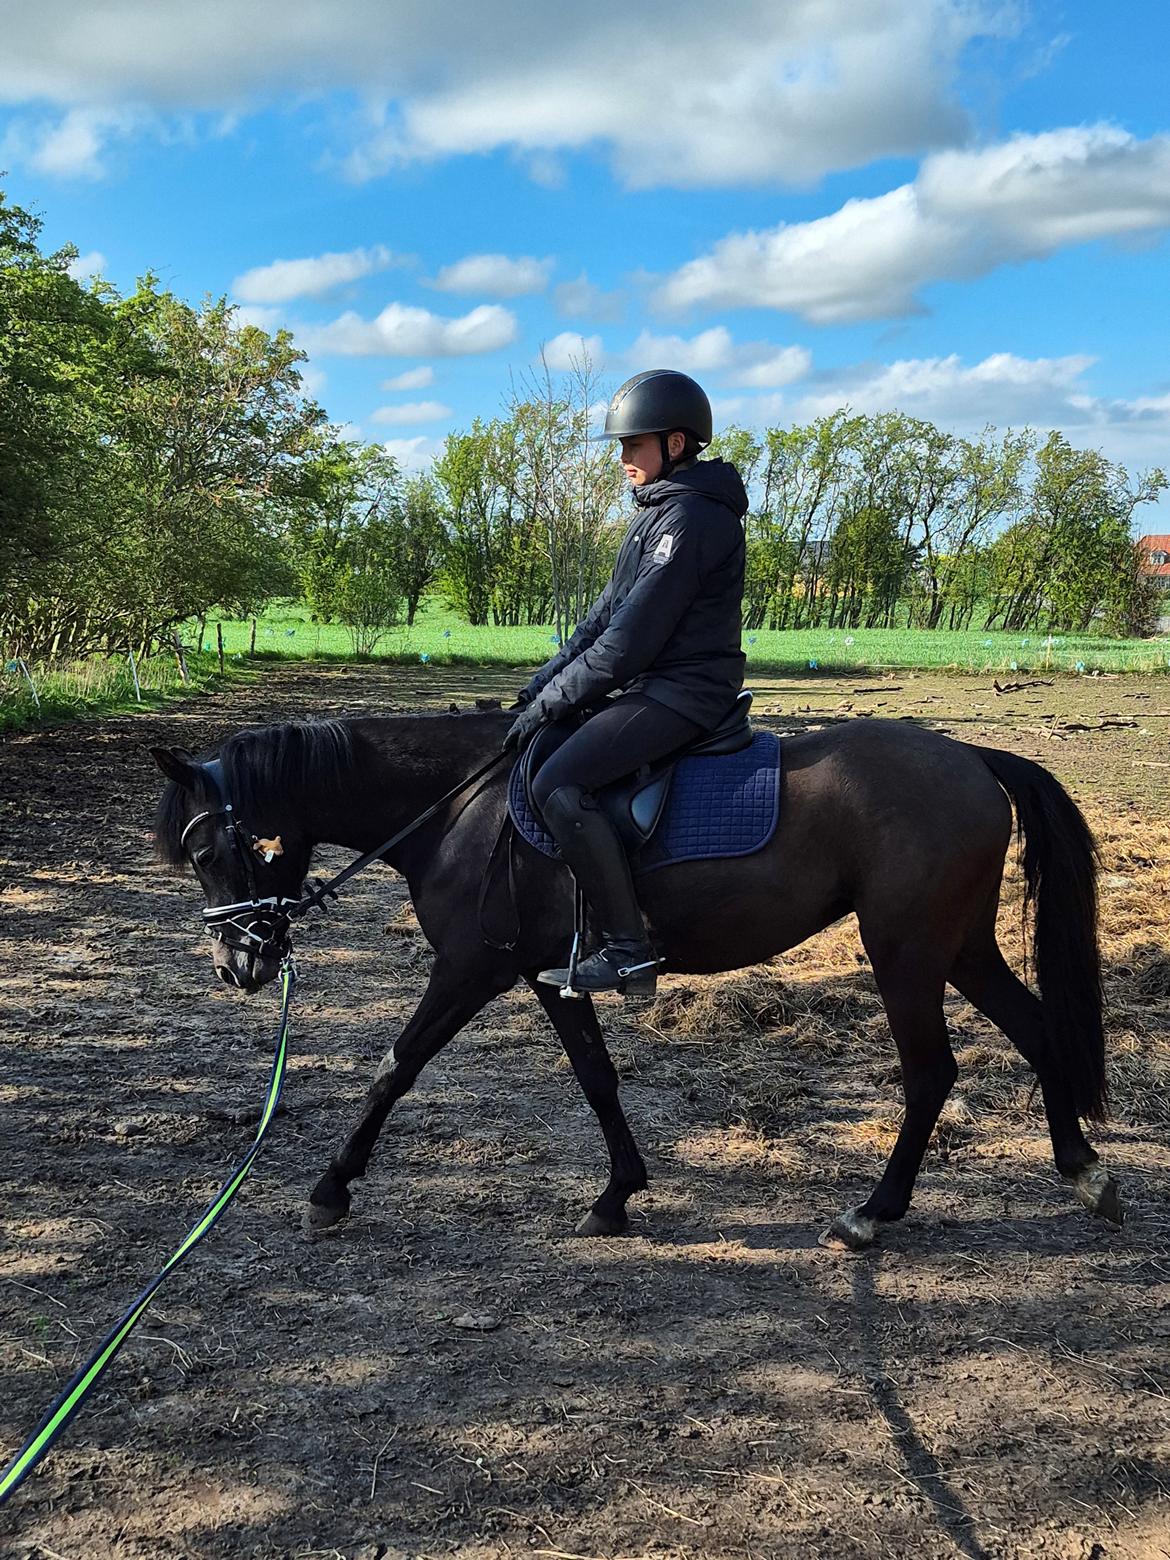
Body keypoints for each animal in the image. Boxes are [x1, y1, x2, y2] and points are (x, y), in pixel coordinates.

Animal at [151, 707, 1122, 1251]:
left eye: (206, 852)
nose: (235, 966)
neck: (458, 809)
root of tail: (974, 757)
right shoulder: (548, 974)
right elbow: (596, 1077)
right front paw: (617, 1197)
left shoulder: (469, 969)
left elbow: (396, 1067)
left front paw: (330, 1191)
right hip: (959, 947)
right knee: (1037, 1030)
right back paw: (1083, 1171)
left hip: (907, 952)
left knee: (930, 1075)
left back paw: (872, 1216)